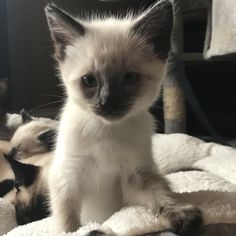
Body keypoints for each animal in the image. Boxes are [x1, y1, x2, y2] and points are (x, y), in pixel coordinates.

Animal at [44, 0, 203, 235]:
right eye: (89, 80)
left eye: (129, 78)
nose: (107, 103)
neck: (107, 129)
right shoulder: (67, 177)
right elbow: (67, 223)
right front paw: (78, 231)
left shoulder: (136, 175)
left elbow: (160, 193)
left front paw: (180, 215)